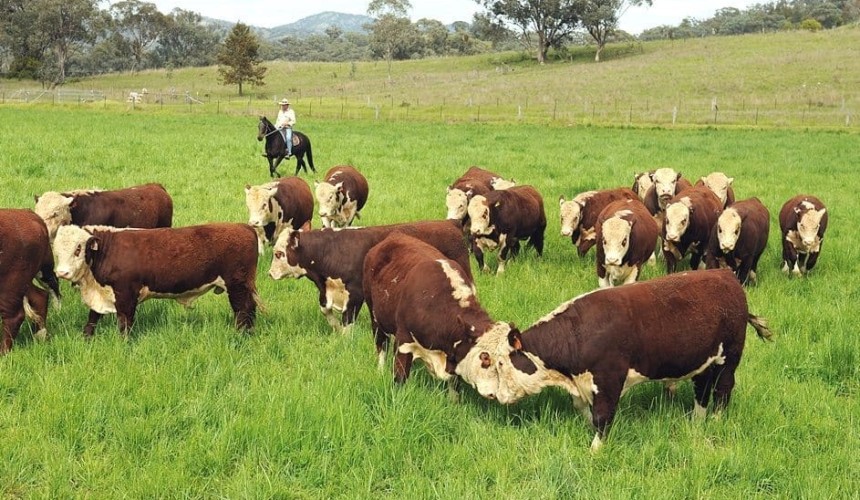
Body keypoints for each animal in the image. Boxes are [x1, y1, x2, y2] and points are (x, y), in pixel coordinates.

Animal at [0, 209, 61, 353]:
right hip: (24, 279)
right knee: (40, 296)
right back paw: (40, 336)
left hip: (11, 281)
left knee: (15, 316)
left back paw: (3, 353)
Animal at [53, 223, 259, 336]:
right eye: (56, 251)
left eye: (78, 248)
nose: (62, 272)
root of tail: (243, 227)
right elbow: (92, 319)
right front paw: (86, 339)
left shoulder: (126, 294)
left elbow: (124, 324)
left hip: (237, 285)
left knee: (243, 310)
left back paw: (241, 335)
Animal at [268, 219, 471, 332]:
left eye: (278, 253)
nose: (269, 274)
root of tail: (450, 223)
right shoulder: (327, 292)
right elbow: (326, 311)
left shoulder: (355, 294)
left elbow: (348, 322)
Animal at [362, 232, 511, 399]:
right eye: (485, 357)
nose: (495, 393)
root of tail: (393, 235)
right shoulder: (404, 341)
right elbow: (400, 377)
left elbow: (454, 383)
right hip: (375, 317)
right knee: (381, 344)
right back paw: (380, 370)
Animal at [469, 269, 773, 451]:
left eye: (500, 363)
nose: (494, 396)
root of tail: (725, 274)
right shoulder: (583, 384)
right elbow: (585, 410)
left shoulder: (609, 380)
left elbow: (603, 417)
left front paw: (595, 450)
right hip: (703, 361)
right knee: (702, 389)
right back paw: (696, 422)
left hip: (729, 357)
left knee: (722, 390)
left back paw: (716, 421)